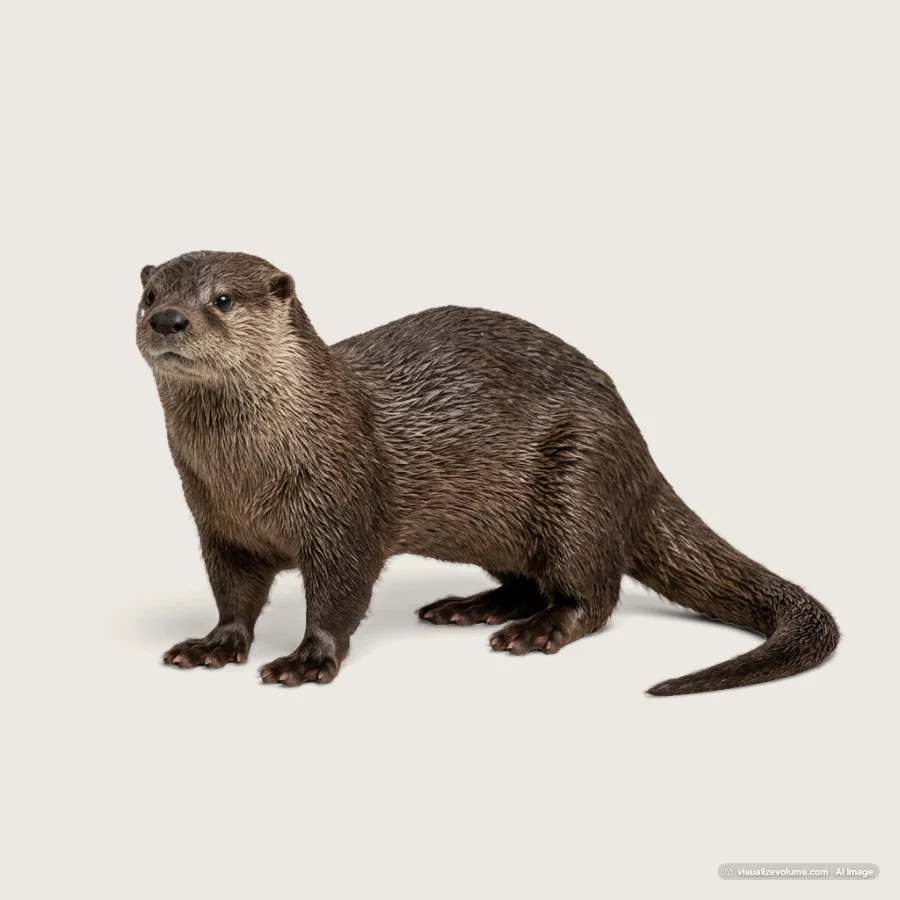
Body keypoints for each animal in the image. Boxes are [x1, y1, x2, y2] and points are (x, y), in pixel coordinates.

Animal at [136, 250, 839, 694]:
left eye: (222, 299)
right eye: (149, 294)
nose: (168, 318)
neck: (249, 477)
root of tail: (638, 454)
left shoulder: (346, 510)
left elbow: (339, 595)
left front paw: (307, 660)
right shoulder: (218, 527)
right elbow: (233, 596)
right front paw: (213, 645)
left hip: (579, 482)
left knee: (593, 591)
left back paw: (537, 630)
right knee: (529, 579)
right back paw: (470, 606)